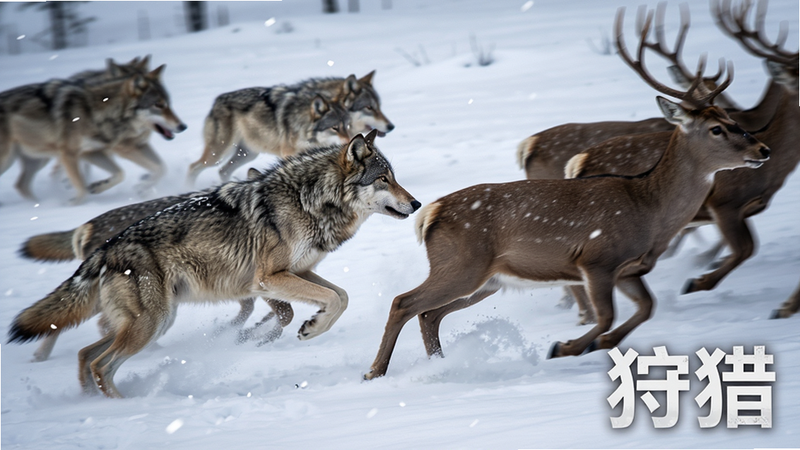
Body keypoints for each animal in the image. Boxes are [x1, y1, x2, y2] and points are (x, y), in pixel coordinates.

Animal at [362, 8, 771, 380]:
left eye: (732, 119)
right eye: (717, 129)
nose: (763, 149)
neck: (649, 210)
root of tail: (428, 213)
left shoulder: (628, 268)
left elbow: (647, 307)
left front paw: (597, 343)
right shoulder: (597, 259)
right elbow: (607, 315)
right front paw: (566, 346)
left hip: (487, 280)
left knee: (429, 313)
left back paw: (439, 364)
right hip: (462, 264)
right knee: (404, 302)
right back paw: (376, 371)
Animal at [566, 0, 798, 297]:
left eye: (730, 117)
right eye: (716, 128)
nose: (762, 150)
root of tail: (578, 161)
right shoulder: (724, 202)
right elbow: (746, 247)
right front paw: (696, 281)